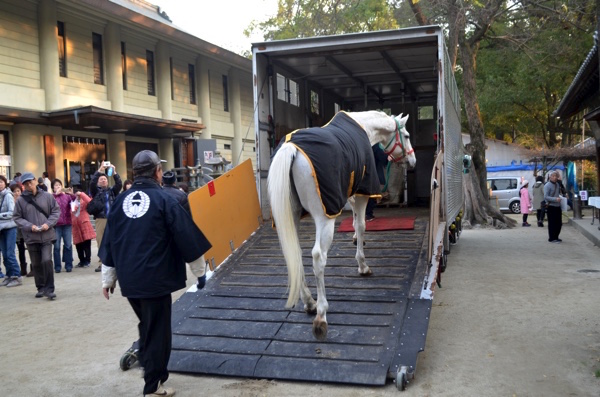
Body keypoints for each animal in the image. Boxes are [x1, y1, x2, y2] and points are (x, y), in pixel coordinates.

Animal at [268, 110, 414, 338]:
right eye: (406, 135)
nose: (412, 161)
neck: (364, 126)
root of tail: (290, 147)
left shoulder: (351, 194)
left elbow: (354, 222)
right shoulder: (362, 194)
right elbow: (361, 225)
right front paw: (362, 265)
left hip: (291, 217)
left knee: (295, 253)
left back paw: (309, 302)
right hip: (324, 218)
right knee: (318, 257)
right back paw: (321, 314)